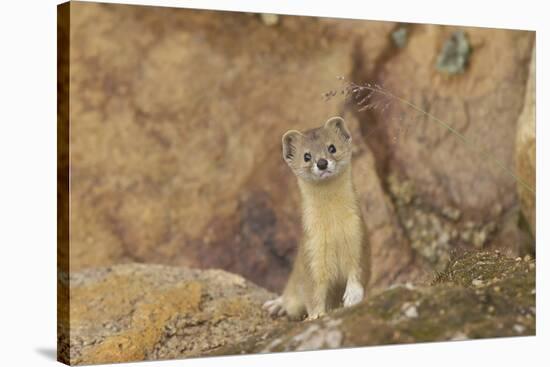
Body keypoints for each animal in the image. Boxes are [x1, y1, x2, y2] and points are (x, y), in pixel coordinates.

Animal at [264, 116, 370, 320]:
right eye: (307, 156)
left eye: (332, 147)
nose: (321, 163)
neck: (334, 227)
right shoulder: (311, 252)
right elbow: (313, 293)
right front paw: (316, 316)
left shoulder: (359, 236)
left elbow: (358, 271)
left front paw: (352, 296)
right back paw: (276, 305)